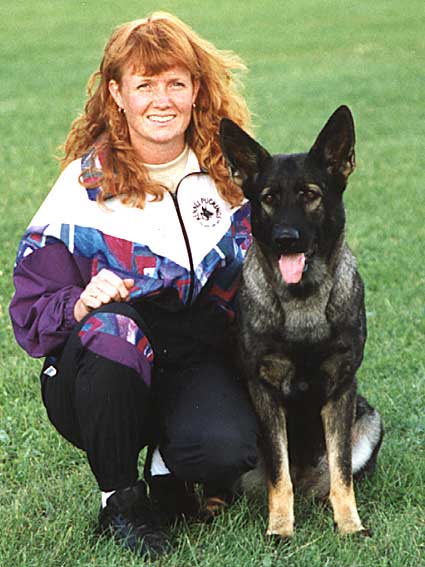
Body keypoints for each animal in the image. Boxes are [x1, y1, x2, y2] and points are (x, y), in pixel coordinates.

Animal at [219, 106, 383, 538]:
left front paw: (349, 524)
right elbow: (280, 475)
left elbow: (342, 471)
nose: (286, 238)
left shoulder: (341, 389)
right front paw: (280, 527)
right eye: (269, 199)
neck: (303, 302)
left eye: (310, 195)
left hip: (369, 420)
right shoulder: (266, 392)